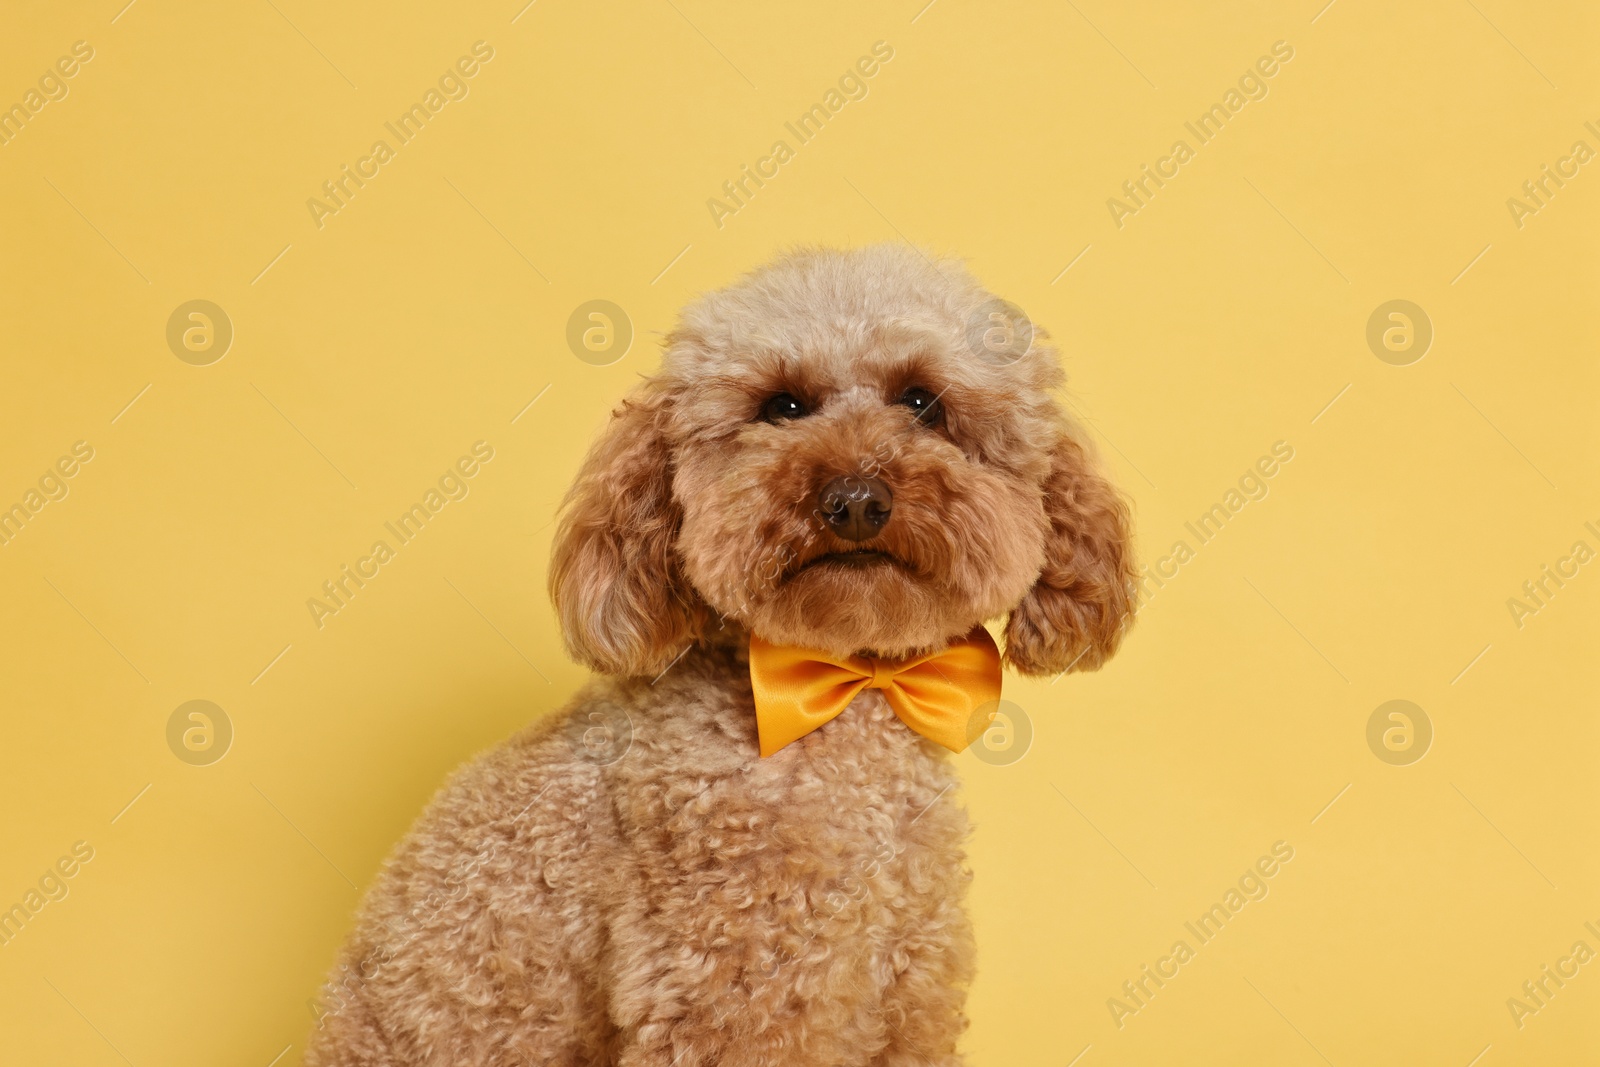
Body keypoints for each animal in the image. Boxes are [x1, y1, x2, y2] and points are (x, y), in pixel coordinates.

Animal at [305, 246, 1139, 1062]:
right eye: (783, 406)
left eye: (922, 401)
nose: (855, 499)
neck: (844, 689)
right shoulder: (729, 988)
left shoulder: (910, 982)